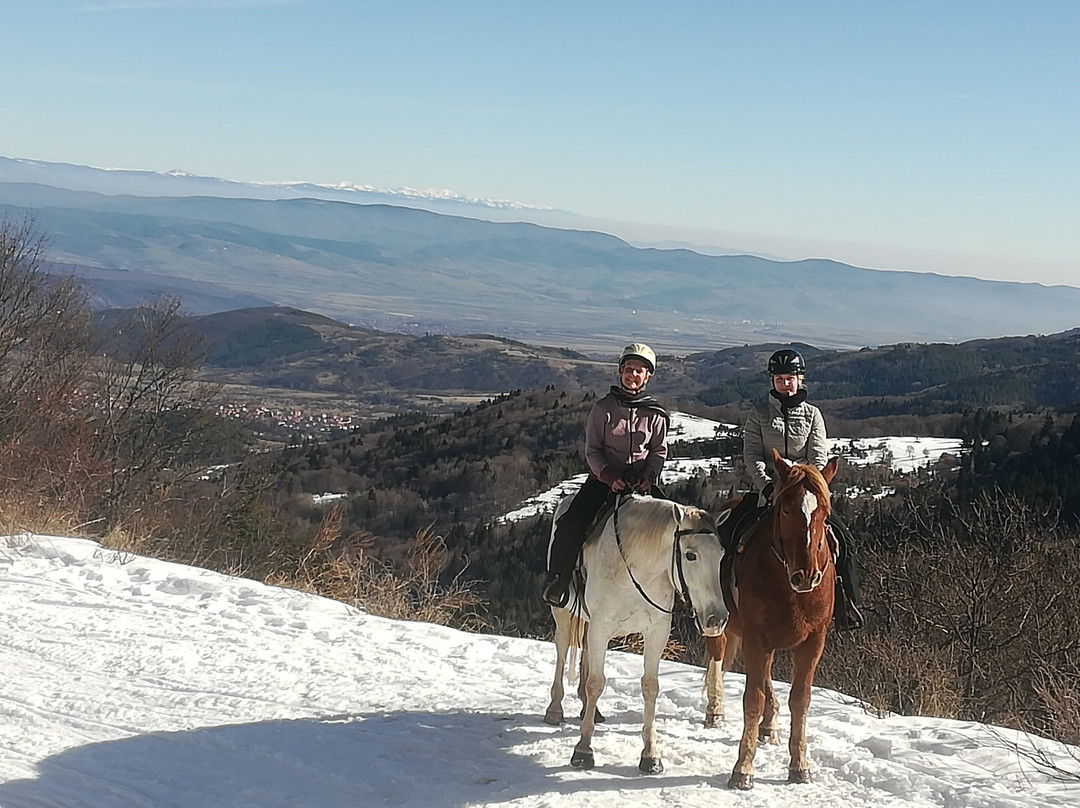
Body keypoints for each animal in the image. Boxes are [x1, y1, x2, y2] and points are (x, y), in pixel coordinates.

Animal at [544, 492, 730, 777]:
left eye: (721, 555)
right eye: (690, 555)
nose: (716, 619)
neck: (634, 563)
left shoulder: (656, 632)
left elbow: (650, 687)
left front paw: (651, 756)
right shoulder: (601, 628)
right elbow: (596, 683)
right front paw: (583, 750)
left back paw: (590, 710)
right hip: (563, 612)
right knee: (562, 650)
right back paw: (555, 710)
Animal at [699, 451, 842, 790]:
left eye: (824, 511)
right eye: (785, 508)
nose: (807, 576)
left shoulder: (813, 642)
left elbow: (800, 700)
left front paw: (800, 765)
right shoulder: (755, 637)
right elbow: (752, 698)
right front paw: (743, 769)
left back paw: (769, 725)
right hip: (721, 625)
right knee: (717, 656)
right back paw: (716, 711)